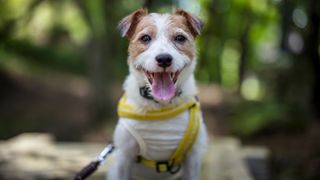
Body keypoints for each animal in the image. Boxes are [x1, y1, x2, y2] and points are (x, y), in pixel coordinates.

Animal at [107, 8, 208, 180]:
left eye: (180, 38)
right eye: (145, 38)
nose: (164, 58)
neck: (160, 105)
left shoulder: (193, 158)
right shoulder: (124, 157)